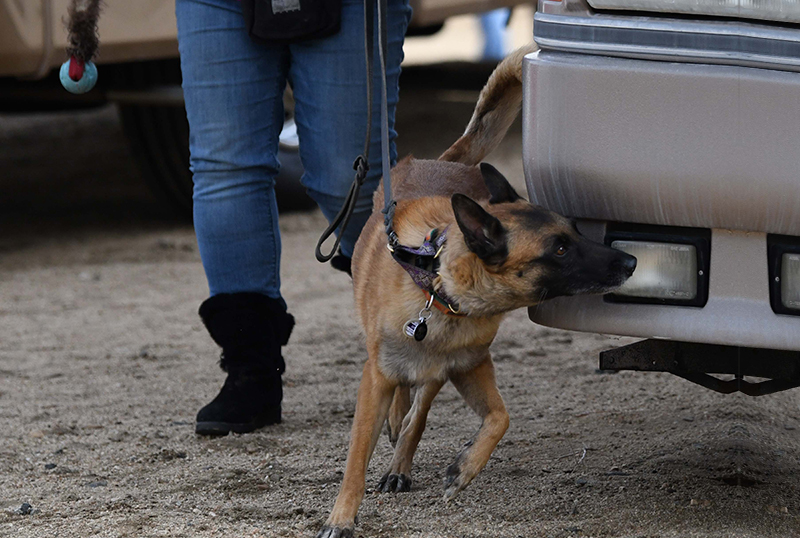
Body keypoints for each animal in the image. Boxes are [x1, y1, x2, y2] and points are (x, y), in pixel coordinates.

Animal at [318, 46, 636, 536]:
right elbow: (356, 456)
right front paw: (342, 517)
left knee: (419, 410)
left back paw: (401, 462)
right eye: (560, 249)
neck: (440, 287)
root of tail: (448, 162)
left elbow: (499, 417)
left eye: (575, 232)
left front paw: (464, 468)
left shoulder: (470, 366)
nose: (630, 261)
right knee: (402, 398)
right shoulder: (375, 378)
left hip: (440, 371)